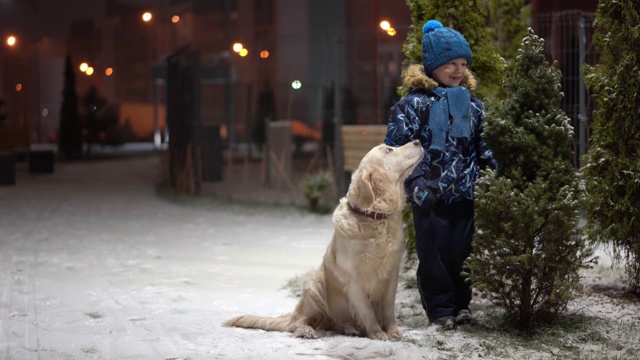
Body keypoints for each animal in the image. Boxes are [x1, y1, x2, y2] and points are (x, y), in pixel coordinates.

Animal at [225, 139, 424, 338]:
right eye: (389, 150)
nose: (418, 141)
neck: (374, 217)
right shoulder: (355, 280)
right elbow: (367, 312)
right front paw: (377, 333)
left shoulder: (391, 274)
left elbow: (388, 308)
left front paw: (392, 331)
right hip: (314, 283)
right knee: (298, 322)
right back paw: (306, 330)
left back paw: (348, 328)